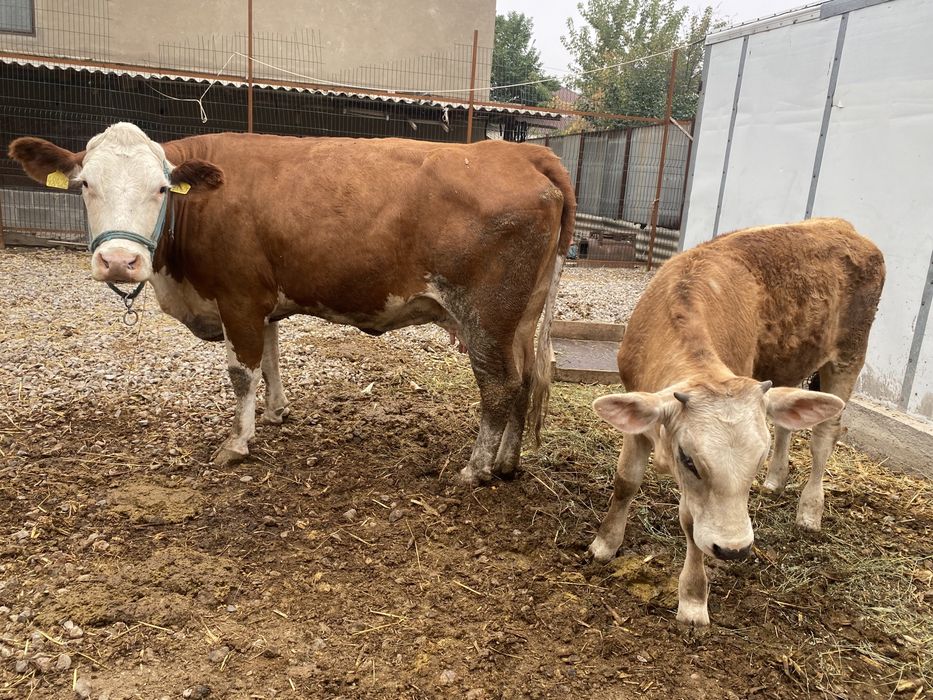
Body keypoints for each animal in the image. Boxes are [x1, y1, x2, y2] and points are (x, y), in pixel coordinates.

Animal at [9, 123, 576, 485]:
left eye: (161, 188)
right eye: (85, 185)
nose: (119, 262)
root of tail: (519, 153)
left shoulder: (237, 297)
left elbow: (242, 372)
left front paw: (238, 443)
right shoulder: (263, 300)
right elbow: (272, 357)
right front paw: (277, 412)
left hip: (485, 315)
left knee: (499, 388)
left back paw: (474, 470)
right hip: (520, 318)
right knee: (526, 380)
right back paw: (506, 465)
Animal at [588, 219, 885, 626]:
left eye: (755, 460)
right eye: (689, 459)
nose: (734, 550)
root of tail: (840, 225)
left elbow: (691, 523)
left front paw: (693, 600)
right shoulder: (640, 415)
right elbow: (625, 481)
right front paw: (605, 543)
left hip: (849, 356)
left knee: (824, 436)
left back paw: (809, 511)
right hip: (789, 366)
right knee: (787, 423)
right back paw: (776, 481)